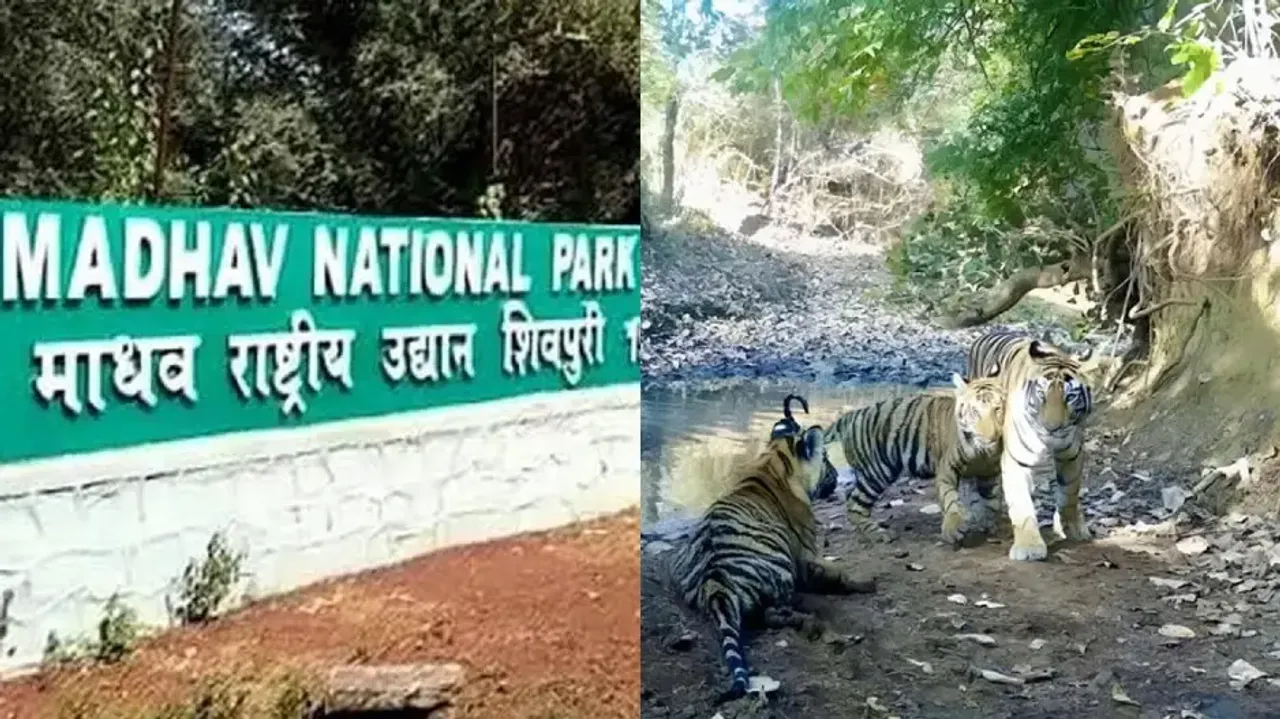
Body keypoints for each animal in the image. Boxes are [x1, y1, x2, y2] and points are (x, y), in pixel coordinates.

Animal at [666, 398, 876, 702]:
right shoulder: (807, 555)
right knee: (773, 613)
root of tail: (715, 583)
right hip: (780, 570)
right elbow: (838, 573)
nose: (837, 475)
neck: (774, 461)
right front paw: (866, 582)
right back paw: (811, 622)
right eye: (825, 459)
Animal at [822, 371, 1007, 546]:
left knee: (850, 495)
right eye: (975, 412)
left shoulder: (990, 472)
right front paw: (953, 529)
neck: (982, 453)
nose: (990, 438)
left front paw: (986, 523)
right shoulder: (947, 469)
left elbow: (992, 501)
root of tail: (852, 415)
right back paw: (879, 534)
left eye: (997, 409)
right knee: (854, 504)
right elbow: (950, 498)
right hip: (876, 472)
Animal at [966, 330, 1094, 562]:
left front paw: (1073, 528)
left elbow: (1070, 492)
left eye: (1070, 397)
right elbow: (1022, 504)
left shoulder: (1072, 453)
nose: (1052, 428)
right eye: (1042, 394)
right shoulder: (1017, 458)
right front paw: (1029, 547)